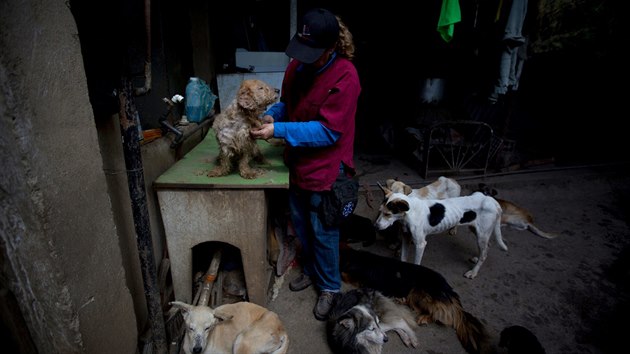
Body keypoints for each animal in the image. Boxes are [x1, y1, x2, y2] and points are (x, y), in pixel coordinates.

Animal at [340, 249, 494, 354]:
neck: (360, 258)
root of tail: (451, 293)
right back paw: (401, 301)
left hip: (417, 292)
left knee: (442, 317)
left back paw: (424, 317)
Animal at [376, 185, 508, 280]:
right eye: (380, 211)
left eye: (388, 214)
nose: (375, 226)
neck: (408, 213)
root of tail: (493, 201)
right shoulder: (406, 238)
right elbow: (403, 258)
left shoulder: (420, 244)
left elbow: (416, 262)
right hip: (477, 231)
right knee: (487, 247)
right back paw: (476, 258)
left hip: (482, 234)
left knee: (484, 253)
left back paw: (473, 272)